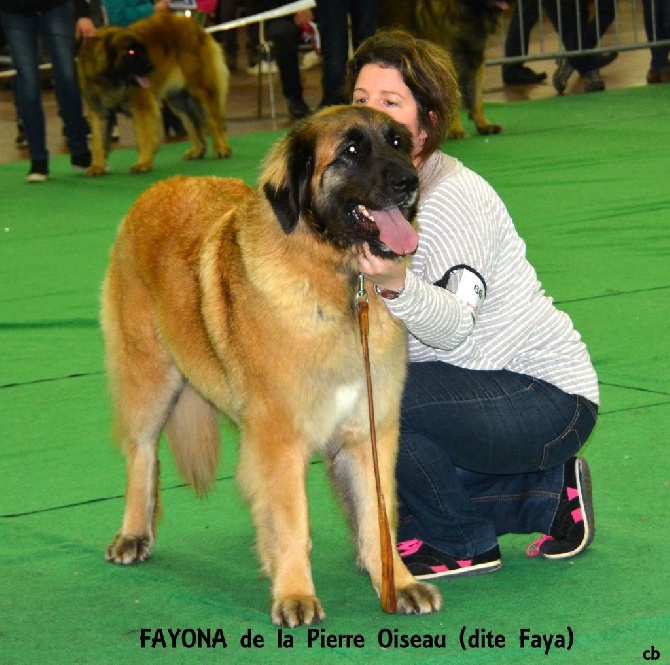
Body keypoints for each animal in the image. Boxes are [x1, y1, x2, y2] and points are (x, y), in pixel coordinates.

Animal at [77, 13, 231, 174]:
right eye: (131, 52)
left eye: (144, 49)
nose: (151, 67)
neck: (111, 79)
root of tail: (192, 23)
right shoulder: (99, 111)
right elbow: (97, 142)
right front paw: (97, 166)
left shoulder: (142, 106)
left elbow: (144, 136)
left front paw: (143, 162)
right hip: (179, 100)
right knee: (192, 123)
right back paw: (198, 150)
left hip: (200, 89)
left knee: (214, 119)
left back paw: (222, 148)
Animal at [102, 106, 444, 624]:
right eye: (351, 150)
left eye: (399, 143)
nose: (409, 182)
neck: (340, 281)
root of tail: (158, 187)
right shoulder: (279, 439)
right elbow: (291, 522)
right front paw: (295, 595)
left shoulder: (370, 430)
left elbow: (378, 516)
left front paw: (398, 583)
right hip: (149, 375)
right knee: (141, 452)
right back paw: (133, 534)